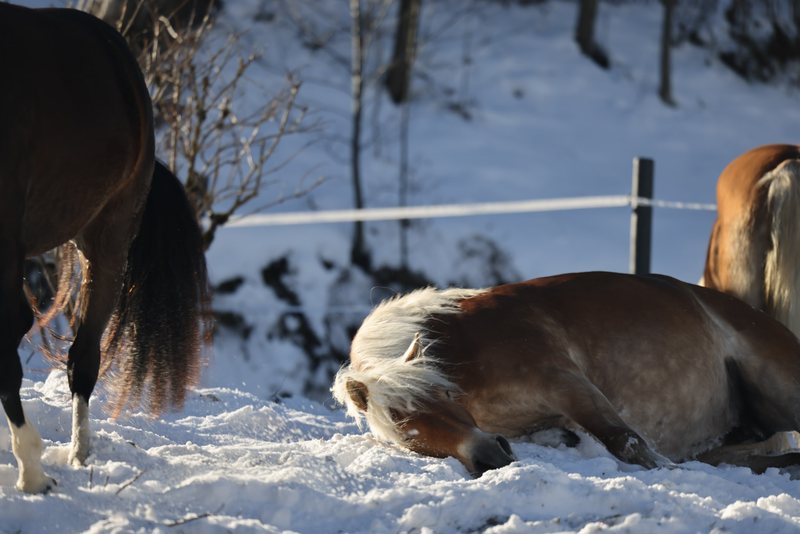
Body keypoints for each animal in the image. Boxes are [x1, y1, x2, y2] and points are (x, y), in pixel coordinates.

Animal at [333, 272, 800, 476]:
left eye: (446, 396)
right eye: (404, 429)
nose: (490, 457)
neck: (463, 340)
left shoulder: (565, 382)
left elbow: (627, 443)